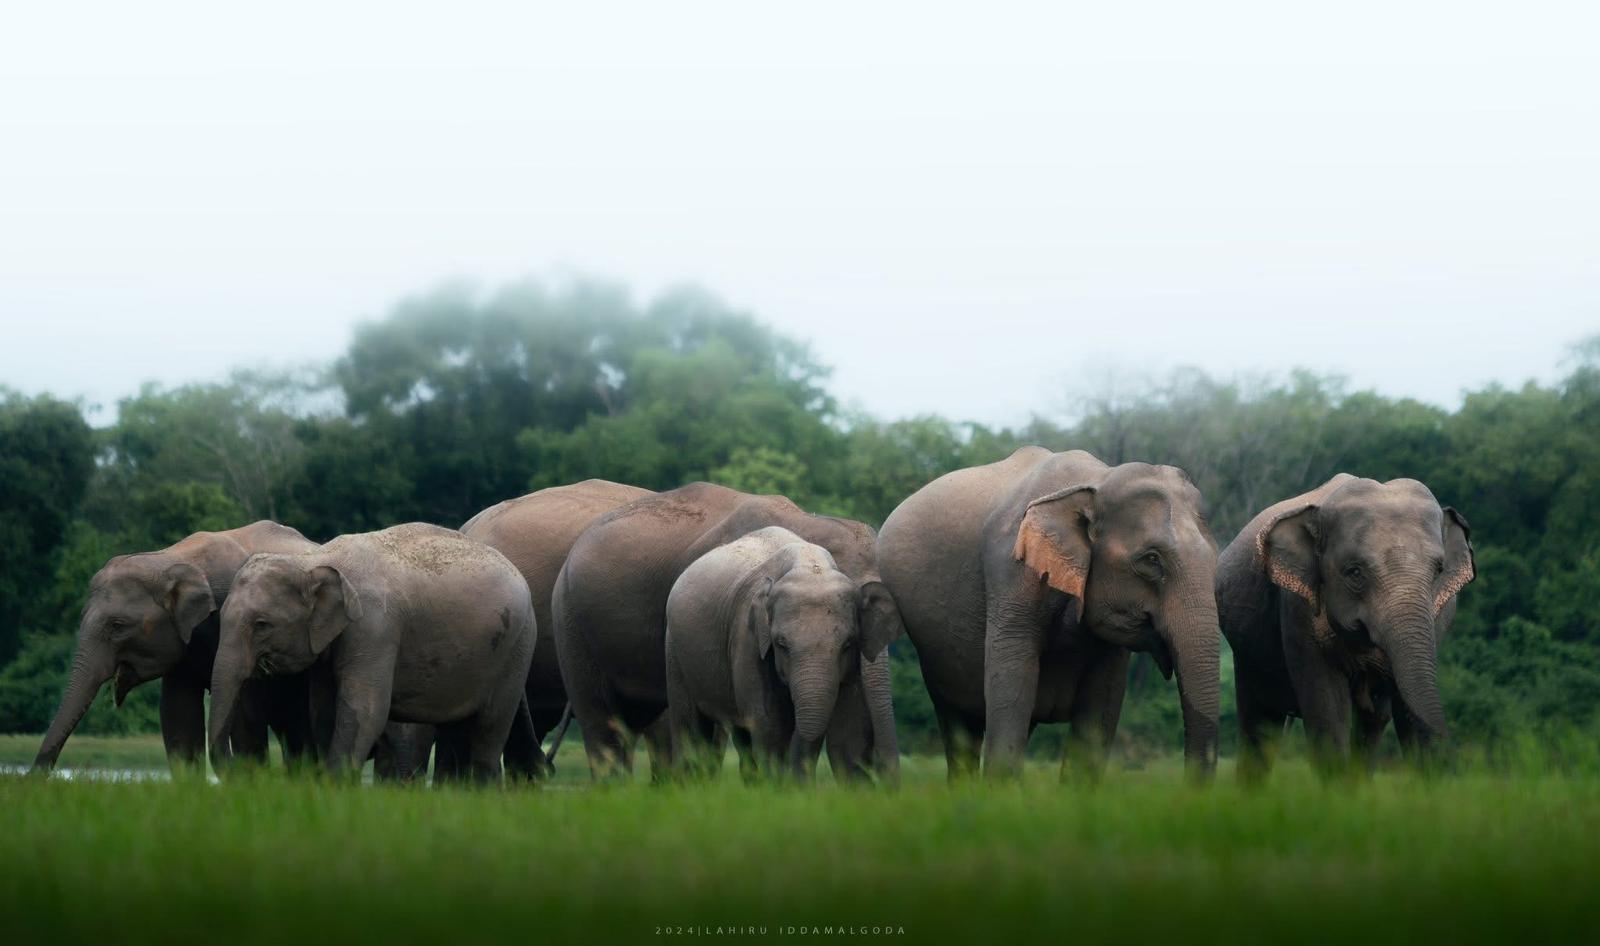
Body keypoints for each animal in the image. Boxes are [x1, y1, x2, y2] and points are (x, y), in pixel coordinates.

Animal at [209, 523, 536, 783]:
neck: (315, 560)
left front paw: (335, 785)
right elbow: (322, 709)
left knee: (489, 727)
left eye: (261, 625)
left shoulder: (375, 627)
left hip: (517, 648)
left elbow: (363, 709)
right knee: (457, 730)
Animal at [664, 527, 902, 781]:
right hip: (674, 649)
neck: (810, 565)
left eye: (847, 644)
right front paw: (777, 786)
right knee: (690, 726)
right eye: (781, 644)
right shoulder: (747, 635)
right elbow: (769, 722)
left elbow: (848, 728)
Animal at [877, 447, 1222, 781]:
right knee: (959, 724)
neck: (1095, 483)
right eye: (1151, 559)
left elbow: (1101, 706)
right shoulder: (1012, 572)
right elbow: (1013, 683)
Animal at [1216, 474, 1475, 779]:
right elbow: (1328, 713)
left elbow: (1402, 712)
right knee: (1259, 724)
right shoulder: (1296, 609)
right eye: (1354, 572)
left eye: (1438, 571)